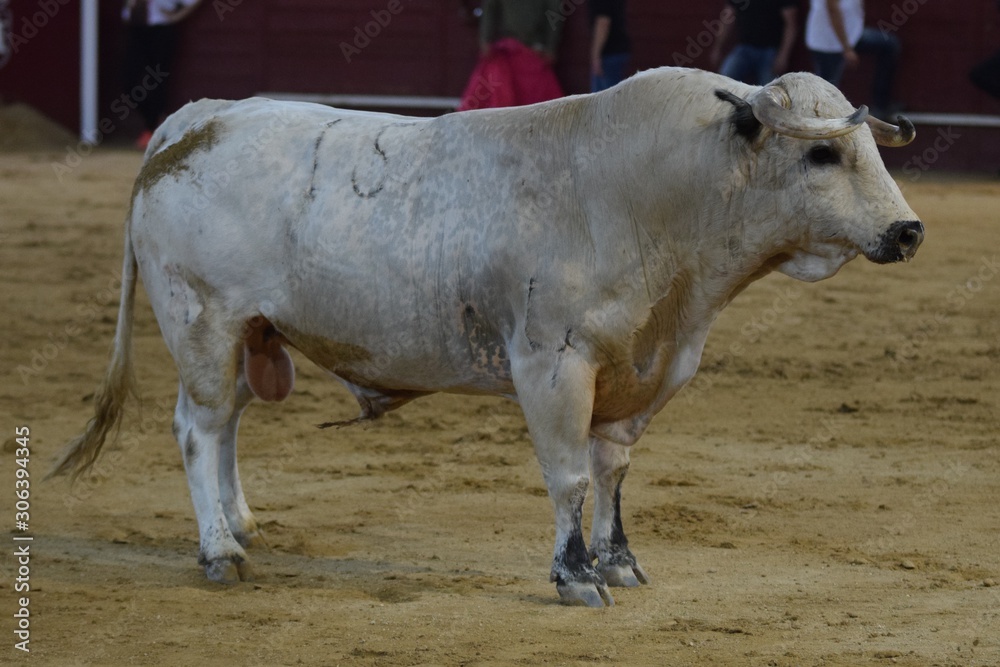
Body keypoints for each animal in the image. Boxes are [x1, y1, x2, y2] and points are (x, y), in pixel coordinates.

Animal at [51, 68, 923, 607]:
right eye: (822, 151)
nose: (908, 229)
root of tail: (197, 120)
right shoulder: (551, 365)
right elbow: (568, 478)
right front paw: (574, 576)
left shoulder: (643, 371)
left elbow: (611, 474)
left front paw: (620, 560)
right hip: (202, 322)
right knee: (198, 428)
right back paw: (219, 551)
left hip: (246, 334)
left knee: (228, 420)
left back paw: (240, 523)